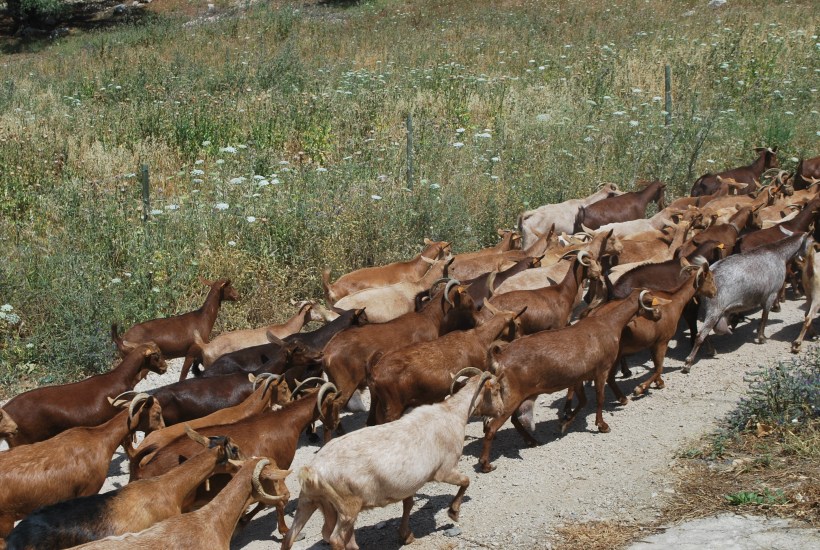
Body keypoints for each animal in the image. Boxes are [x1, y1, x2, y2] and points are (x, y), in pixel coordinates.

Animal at [281, 370, 504, 550]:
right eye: (496, 390)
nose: (502, 410)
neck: (453, 413)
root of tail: (312, 471)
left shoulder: (410, 481)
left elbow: (409, 503)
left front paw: (406, 535)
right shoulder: (445, 470)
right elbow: (466, 481)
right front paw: (453, 512)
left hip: (311, 501)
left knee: (293, 537)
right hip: (347, 505)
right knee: (336, 538)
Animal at [478, 290, 668, 472]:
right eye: (652, 303)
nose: (659, 315)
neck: (610, 324)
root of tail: (499, 358)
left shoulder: (579, 377)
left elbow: (583, 401)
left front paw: (564, 423)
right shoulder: (602, 370)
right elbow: (599, 399)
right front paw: (602, 425)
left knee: (512, 420)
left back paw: (531, 441)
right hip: (512, 395)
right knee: (492, 427)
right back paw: (486, 464)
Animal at [684, 232, 809, 371]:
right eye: (812, 241)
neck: (779, 253)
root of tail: (705, 276)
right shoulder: (770, 295)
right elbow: (764, 317)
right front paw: (762, 338)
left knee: (703, 333)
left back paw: (712, 350)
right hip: (715, 309)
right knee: (700, 335)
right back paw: (688, 363)